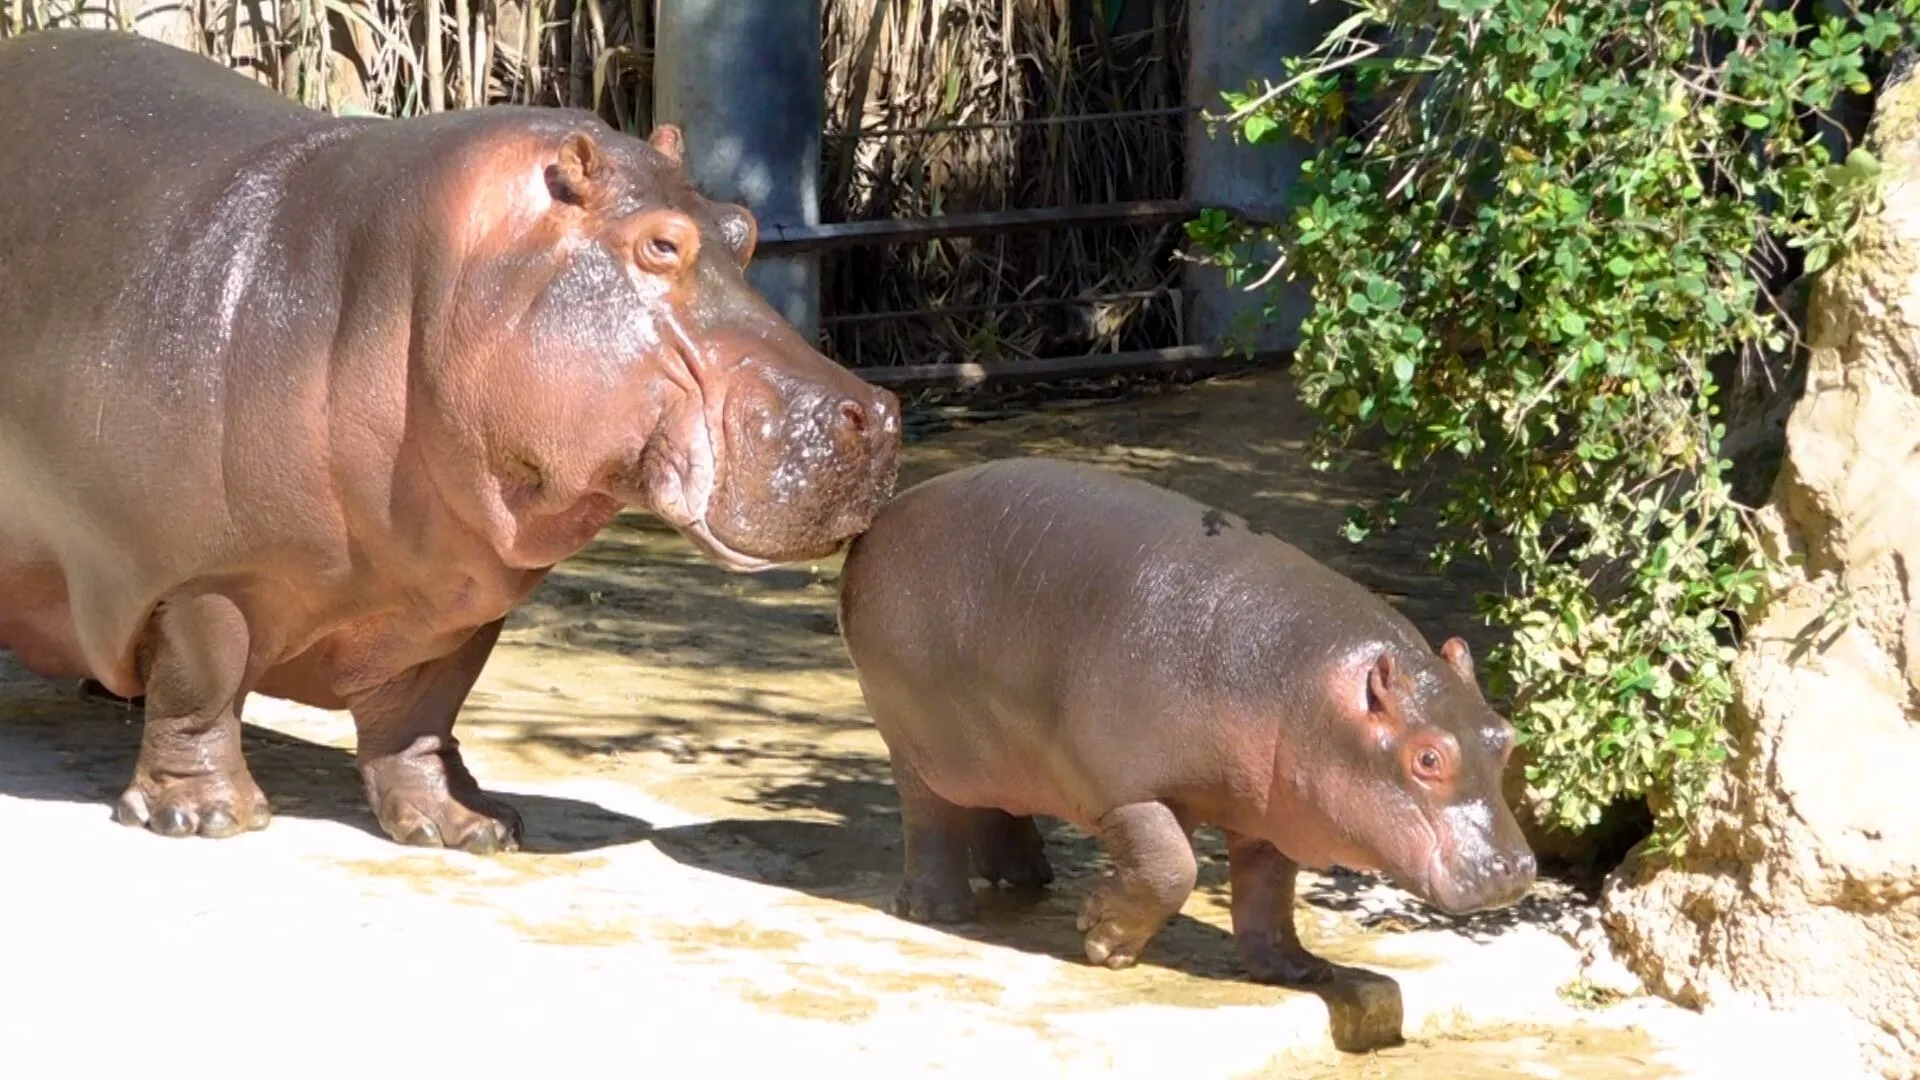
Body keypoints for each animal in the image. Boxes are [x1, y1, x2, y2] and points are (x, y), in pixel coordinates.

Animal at [0, 29, 900, 852]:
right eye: (660, 243)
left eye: (743, 229)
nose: (878, 412)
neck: (409, 281)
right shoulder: (205, 574)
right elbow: (204, 685)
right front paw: (205, 818)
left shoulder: (460, 586)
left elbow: (423, 713)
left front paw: (468, 827)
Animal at [836, 458, 1535, 982]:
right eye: (1428, 757)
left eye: (1504, 736)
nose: (1518, 870)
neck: (1303, 691)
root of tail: (885, 515)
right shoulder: (1123, 791)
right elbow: (1174, 866)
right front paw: (1102, 940)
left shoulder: (1271, 813)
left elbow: (1267, 890)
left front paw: (1297, 971)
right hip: (913, 737)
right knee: (930, 816)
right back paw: (942, 912)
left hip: (994, 740)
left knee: (996, 800)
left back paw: (1029, 876)